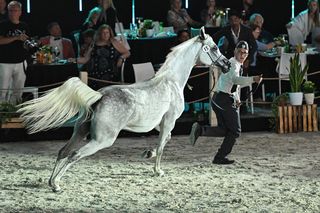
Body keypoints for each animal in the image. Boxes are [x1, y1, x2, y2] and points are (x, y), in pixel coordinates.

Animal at [18, 27, 230, 192]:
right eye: (214, 47)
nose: (227, 64)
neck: (171, 82)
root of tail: (98, 96)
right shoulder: (169, 121)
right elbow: (162, 145)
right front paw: (158, 170)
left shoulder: (159, 124)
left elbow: (165, 140)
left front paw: (148, 153)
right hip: (102, 140)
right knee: (74, 155)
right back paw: (57, 184)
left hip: (80, 132)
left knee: (63, 151)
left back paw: (51, 181)